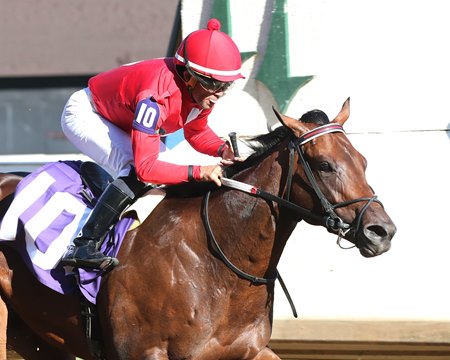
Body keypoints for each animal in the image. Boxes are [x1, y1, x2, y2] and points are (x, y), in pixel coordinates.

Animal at [0, 97, 396, 358]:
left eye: (362, 160)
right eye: (325, 165)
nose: (382, 231)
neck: (218, 262)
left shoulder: (249, 350)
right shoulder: (146, 352)